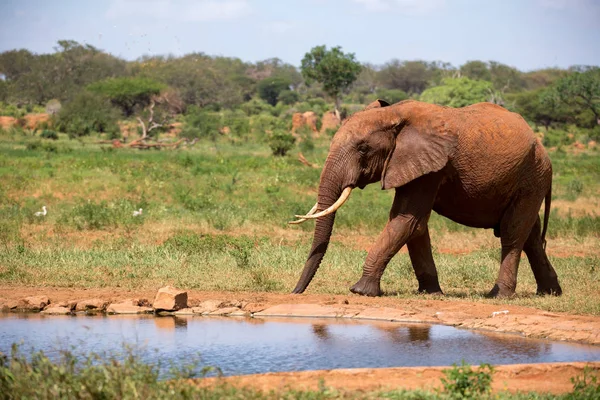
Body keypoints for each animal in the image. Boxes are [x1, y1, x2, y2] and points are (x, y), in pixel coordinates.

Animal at [290, 99, 564, 296]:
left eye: (363, 149)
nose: (295, 292)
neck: (394, 114)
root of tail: (542, 147)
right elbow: (416, 225)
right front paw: (430, 293)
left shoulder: (431, 167)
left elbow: (405, 220)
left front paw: (360, 291)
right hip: (529, 180)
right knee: (531, 237)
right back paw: (550, 293)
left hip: (531, 177)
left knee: (513, 233)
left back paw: (499, 295)